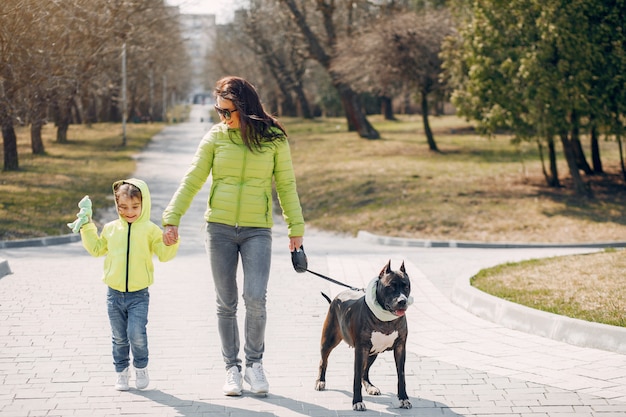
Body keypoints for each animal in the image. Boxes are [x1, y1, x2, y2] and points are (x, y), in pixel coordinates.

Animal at [314, 260, 412, 410]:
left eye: (406, 286)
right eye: (390, 286)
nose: (402, 301)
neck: (386, 319)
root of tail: (336, 299)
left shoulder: (400, 348)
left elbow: (401, 375)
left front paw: (403, 398)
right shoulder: (361, 350)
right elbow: (356, 376)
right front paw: (357, 401)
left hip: (373, 352)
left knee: (365, 371)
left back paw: (370, 386)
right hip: (328, 341)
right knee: (323, 361)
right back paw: (320, 381)